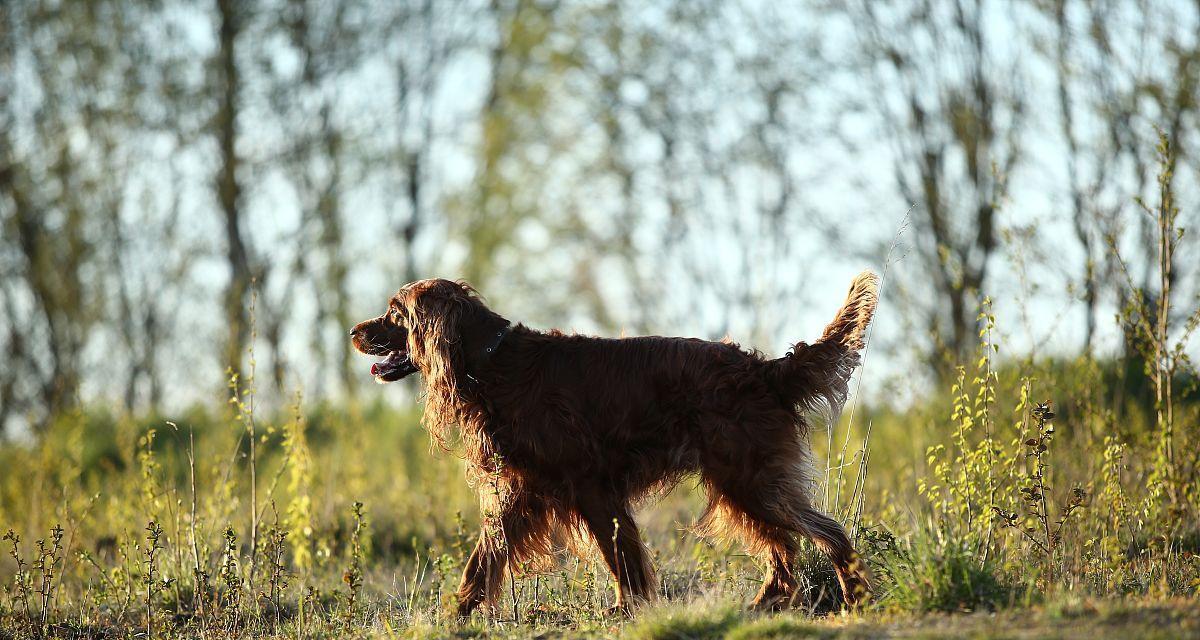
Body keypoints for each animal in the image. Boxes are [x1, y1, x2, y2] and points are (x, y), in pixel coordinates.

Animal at [350, 273, 878, 614]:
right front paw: (455, 616)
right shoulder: (522, 492)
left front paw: (628, 609)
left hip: (750, 477)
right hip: (742, 483)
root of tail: (766, 369)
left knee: (827, 532)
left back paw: (854, 597)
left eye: (394, 313)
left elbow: (619, 554)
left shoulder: (590, 486)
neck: (493, 363)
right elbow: (482, 561)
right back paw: (767, 602)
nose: (354, 331)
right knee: (784, 546)